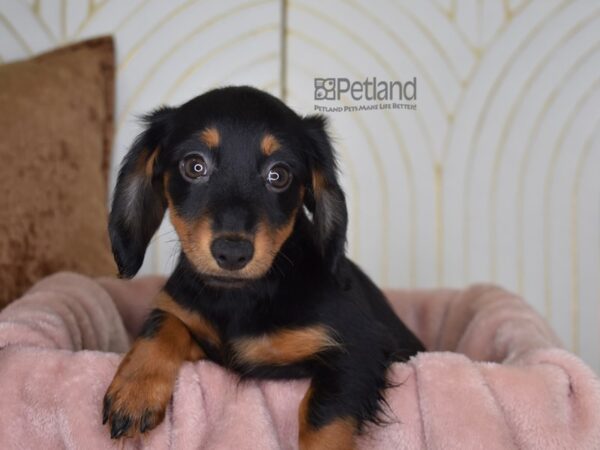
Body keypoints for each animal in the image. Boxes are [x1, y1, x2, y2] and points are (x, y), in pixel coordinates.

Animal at [103, 86, 424, 448]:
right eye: (194, 165)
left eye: (278, 175)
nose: (232, 253)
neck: (242, 296)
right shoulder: (193, 328)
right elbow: (163, 323)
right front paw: (135, 389)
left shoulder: (361, 347)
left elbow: (322, 417)